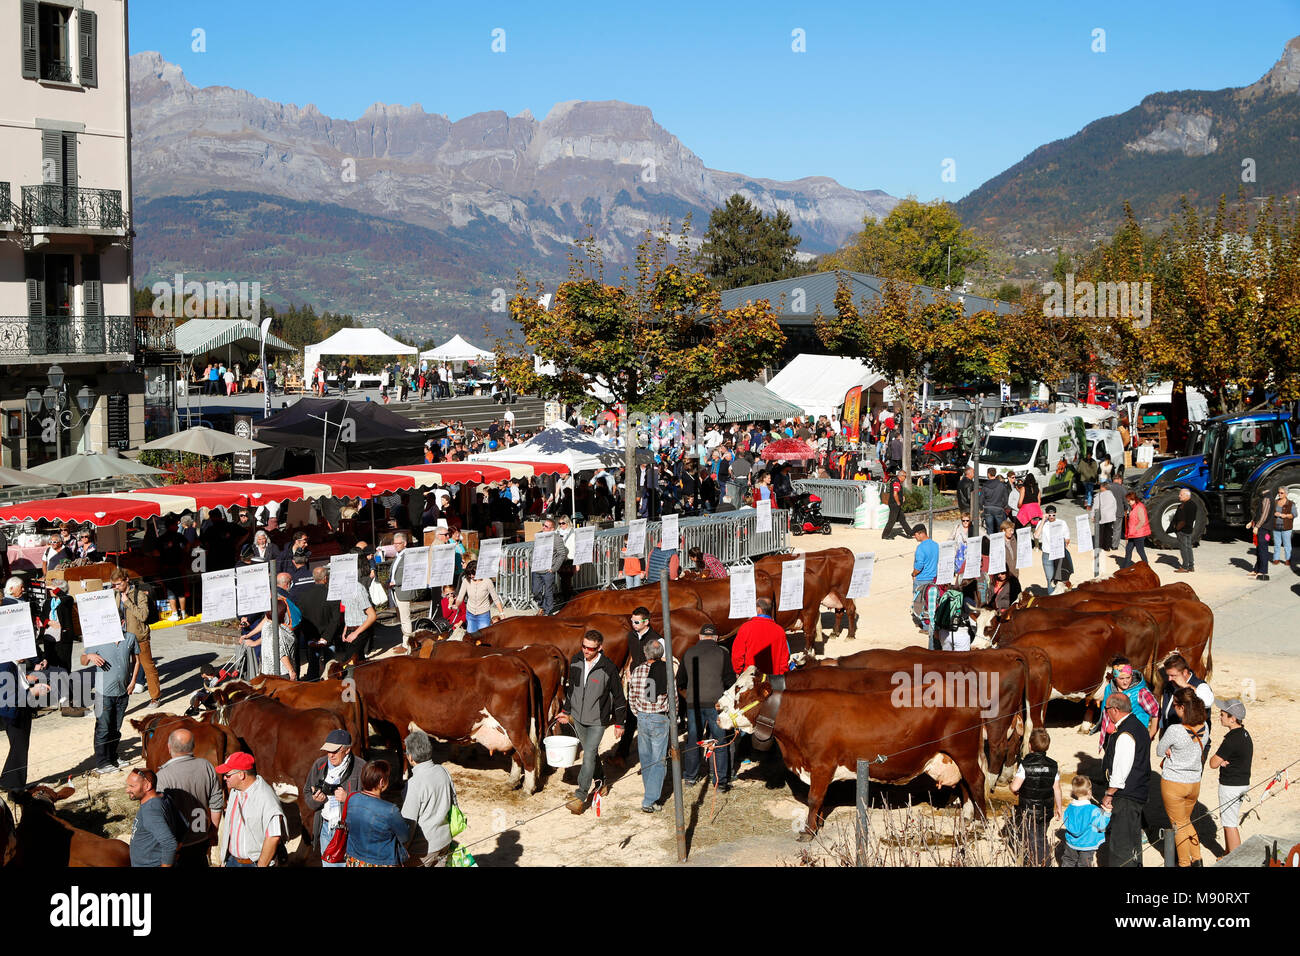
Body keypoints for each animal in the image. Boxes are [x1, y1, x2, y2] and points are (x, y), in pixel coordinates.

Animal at [332, 658, 546, 790]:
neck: (383, 678)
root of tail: (513, 660)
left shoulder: (399, 724)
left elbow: (403, 753)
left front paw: (402, 780)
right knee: (517, 753)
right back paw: (512, 782)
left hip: (512, 724)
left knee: (527, 750)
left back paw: (527, 788)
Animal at [717, 671, 987, 837]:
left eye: (741, 692)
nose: (718, 710)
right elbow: (821, 799)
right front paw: (816, 825)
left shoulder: (822, 765)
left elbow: (814, 798)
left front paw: (808, 832)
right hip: (955, 755)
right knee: (964, 784)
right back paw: (967, 817)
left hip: (964, 752)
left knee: (976, 781)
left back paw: (981, 822)